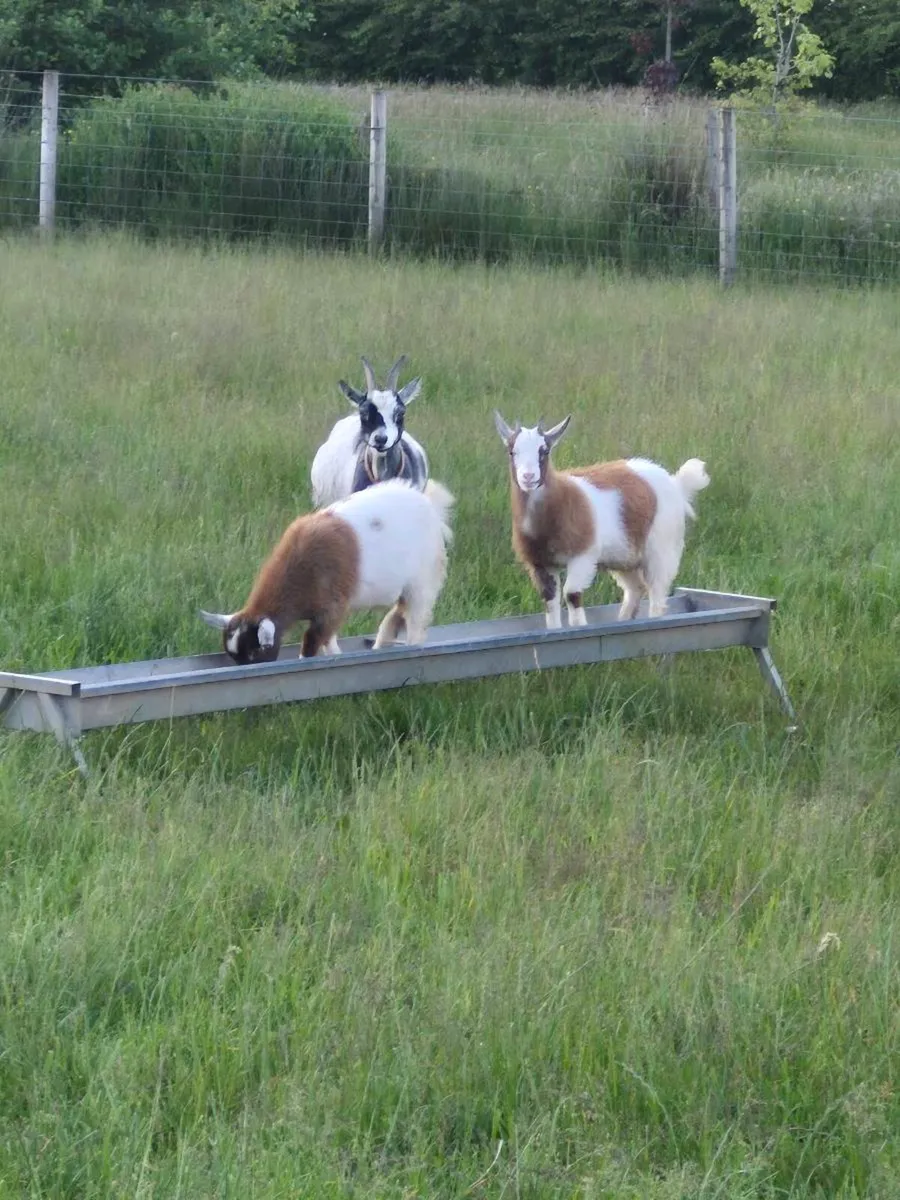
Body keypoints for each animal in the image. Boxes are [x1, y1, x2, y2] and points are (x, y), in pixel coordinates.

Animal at [200, 479, 454, 664]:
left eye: (255, 653)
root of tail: (432, 506)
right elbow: (326, 639)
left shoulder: (332, 606)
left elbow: (314, 640)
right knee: (395, 616)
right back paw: (381, 647)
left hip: (423, 582)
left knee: (415, 622)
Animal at [493, 412, 709, 628]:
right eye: (511, 452)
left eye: (544, 451)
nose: (528, 477)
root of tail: (676, 483)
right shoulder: (540, 564)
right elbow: (550, 601)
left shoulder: (583, 555)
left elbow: (571, 594)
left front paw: (579, 627)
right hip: (624, 557)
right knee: (635, 588)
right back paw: (623, 620)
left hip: (661, 549)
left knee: (657, 592)